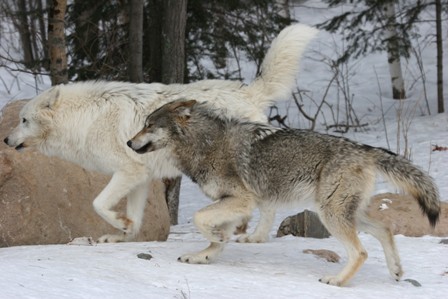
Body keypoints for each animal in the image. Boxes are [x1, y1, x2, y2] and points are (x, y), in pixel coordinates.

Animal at [3, 23, 318, 244]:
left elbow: (98, 204)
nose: (5, 139)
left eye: (23, 120)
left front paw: (118, 224)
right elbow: (134, 217)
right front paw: (123, 234)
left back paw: (254, 236)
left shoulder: (128, 170)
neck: (86, 118)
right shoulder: (141, 178)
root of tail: (249, 91)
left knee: (266, 207)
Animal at [127, 99, 440, 288]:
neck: (205, 143)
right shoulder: (232, 203)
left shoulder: (242, 200)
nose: (129, 142)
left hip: (331, 216)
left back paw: (337, 281)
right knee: (385, 229)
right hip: (345, 214)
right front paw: (203, 255)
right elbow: (216, 238)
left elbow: (199, 218)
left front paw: (214, 240)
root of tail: (365, 149)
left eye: (149, 125)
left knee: (360, 251)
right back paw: (396, 271)